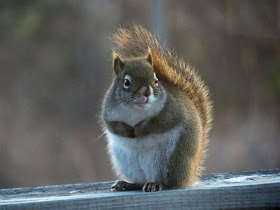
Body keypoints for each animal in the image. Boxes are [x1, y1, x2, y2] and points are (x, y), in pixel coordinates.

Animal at [101, 24, 213, 192]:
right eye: (126, 82)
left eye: (155, 80)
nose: (147, 92)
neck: (136, 109)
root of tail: (190, 173)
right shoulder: (108, 112)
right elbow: (112, 126)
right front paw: (127, 131)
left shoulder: (172, 109)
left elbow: (161, 122)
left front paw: (140, 129)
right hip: (127, 162)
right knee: (139, 181)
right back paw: (127, 183)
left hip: (170, 160)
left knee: (168, 182)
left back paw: (156, 183)